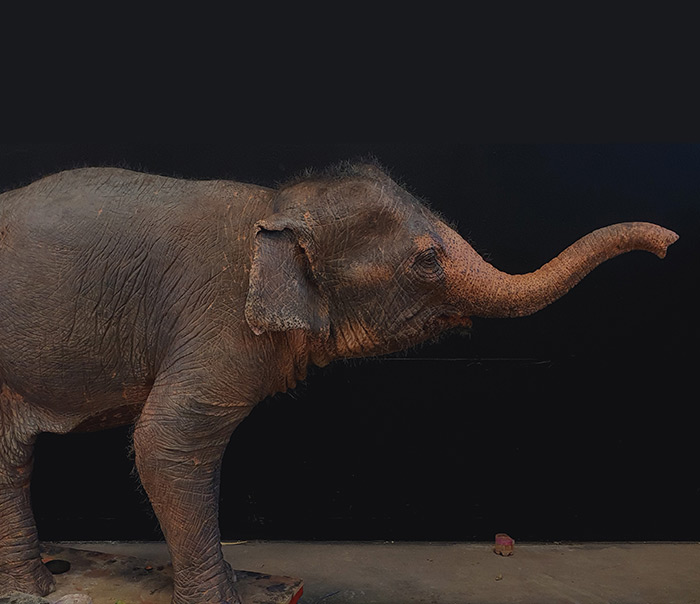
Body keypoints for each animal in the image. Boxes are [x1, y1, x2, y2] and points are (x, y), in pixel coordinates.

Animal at [0, 162, 678, 603]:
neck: (277, 206)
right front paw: (223, 598)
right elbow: (165, 443)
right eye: (426, 260)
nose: (671, 242)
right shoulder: (218, 325)